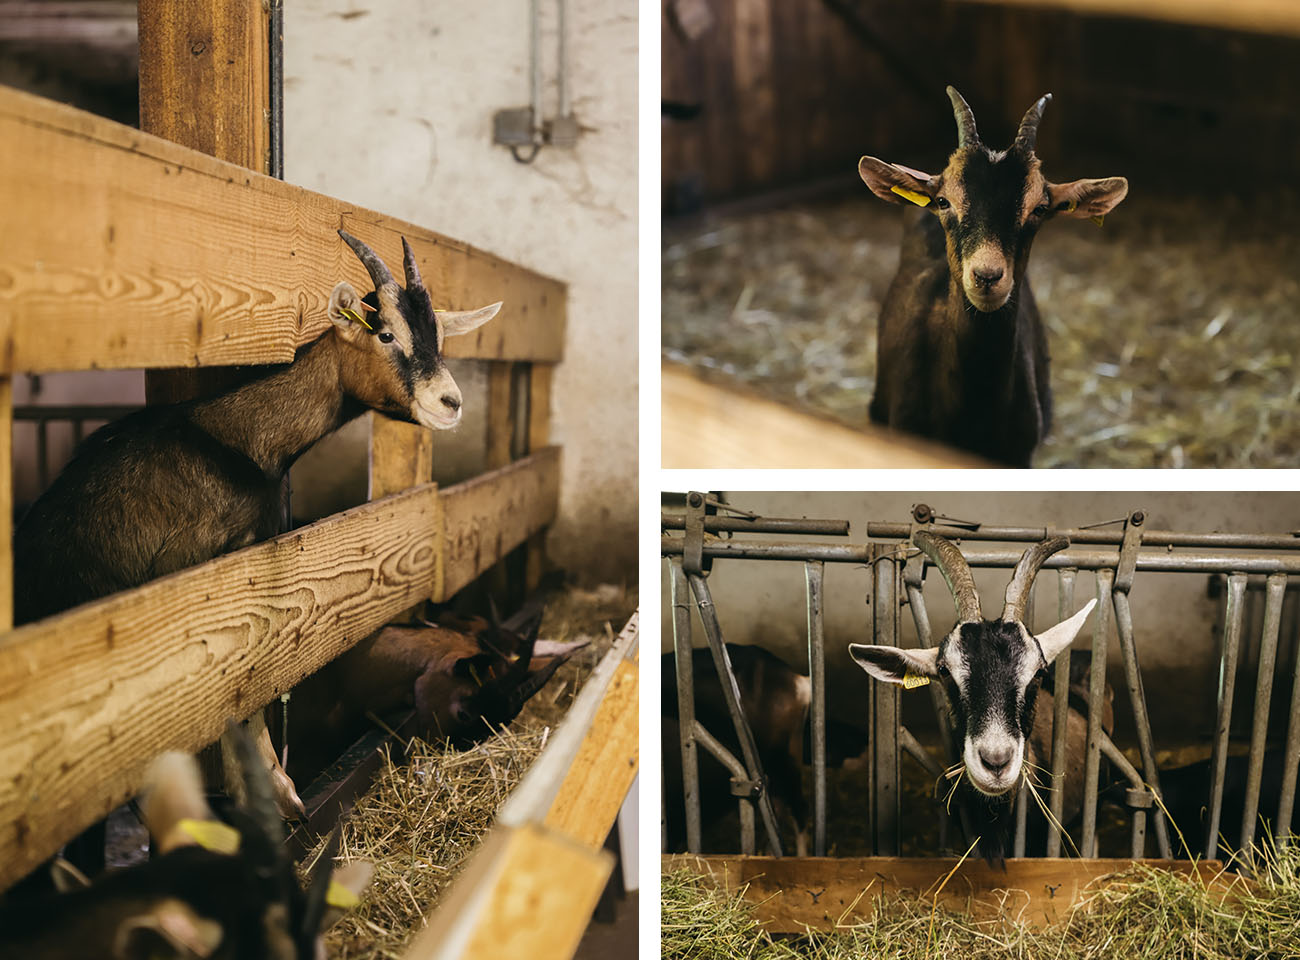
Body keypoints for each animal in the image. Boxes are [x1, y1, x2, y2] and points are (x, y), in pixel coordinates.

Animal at [13, 227, 501, 816]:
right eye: (385, 333)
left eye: (440, 337)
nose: (450, 403)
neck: (237, 441)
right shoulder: (206, 580)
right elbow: (243, 686)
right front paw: (274, 794)